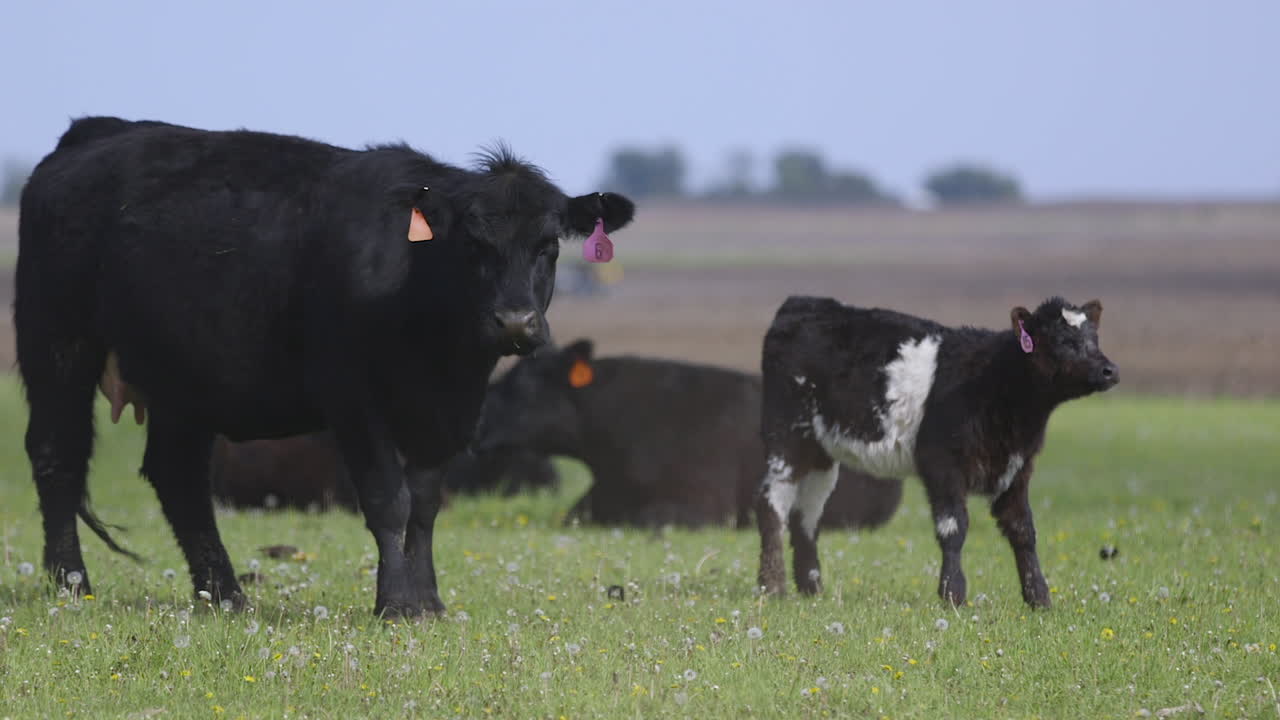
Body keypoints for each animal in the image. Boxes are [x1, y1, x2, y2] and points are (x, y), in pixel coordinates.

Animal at [15, 115, 634, 618]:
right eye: (473, 245)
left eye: (549, 245)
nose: (514, 322)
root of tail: (93, 131)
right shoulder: (353, 398)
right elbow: (389, 498)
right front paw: (395, 604)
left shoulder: (444, 408)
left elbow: (426, 503)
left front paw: (429, 600)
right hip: (58, 348)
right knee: (57, 457)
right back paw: (73, 583)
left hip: (183, 378)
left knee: (178, 477)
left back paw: (225, 594)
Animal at [471, 339, 904, 530]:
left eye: (521, 384)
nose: (474, 422)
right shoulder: (601, 494)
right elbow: (573, 516)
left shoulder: (704, 506)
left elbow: (648, 519)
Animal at [756, 296, 1118, 607]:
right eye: (1062, 340)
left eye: (1095, 338)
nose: (1110, 370)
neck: (996, 383)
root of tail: (801, 303)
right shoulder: (943, 464)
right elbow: (953, 527)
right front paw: (953, 594)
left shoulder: (1016, 469)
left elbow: (1024, 530)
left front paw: (1039, 598)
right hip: (786, 438)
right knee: (773, 505)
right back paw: (772, 587)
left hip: (820, 455)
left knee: (806, 515)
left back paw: (811, 588)